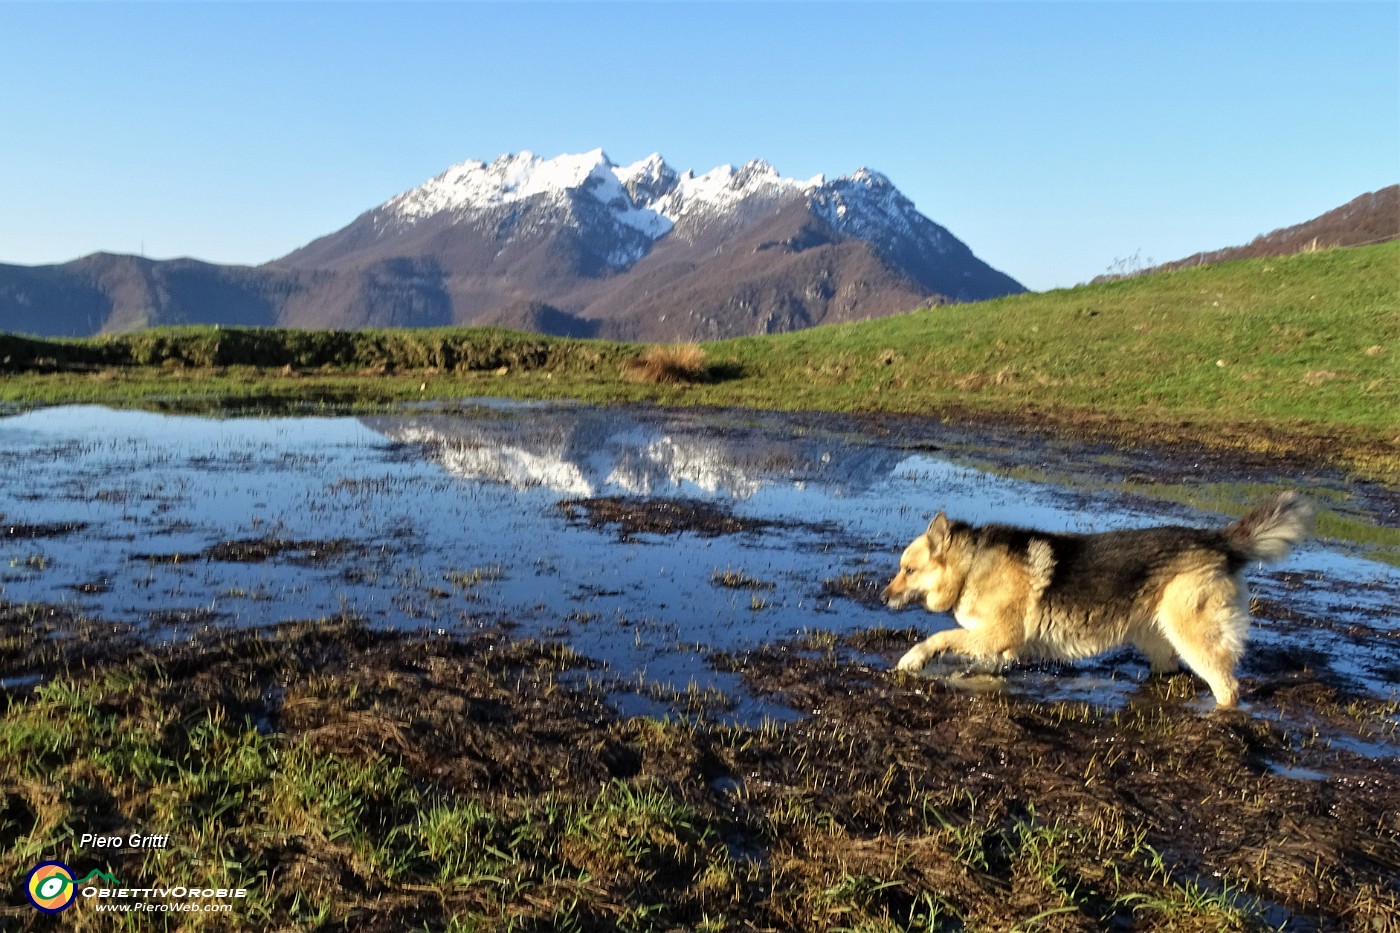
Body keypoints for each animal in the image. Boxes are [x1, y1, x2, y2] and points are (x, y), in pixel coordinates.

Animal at [884, 490, 1310, 700]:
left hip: (1194, 638)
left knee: (1228, 688)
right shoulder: (997, 646)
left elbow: (939, 637)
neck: (971, 564)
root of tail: (1218, 540)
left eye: (909, 570)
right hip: (1157, 642)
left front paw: (911, 660)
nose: (884, 598)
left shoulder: (998, 635)